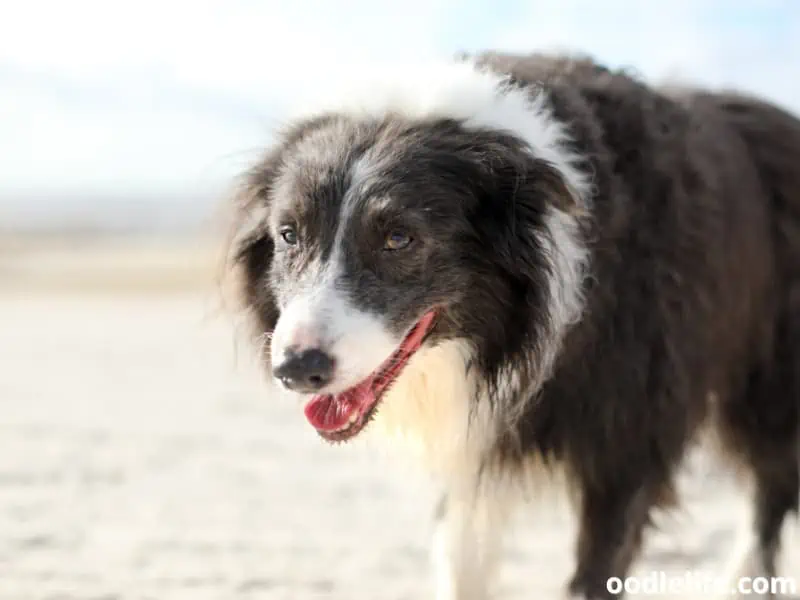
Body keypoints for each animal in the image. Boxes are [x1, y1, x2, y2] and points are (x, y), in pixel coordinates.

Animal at [227, 54, 800, 596]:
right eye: (289, 234)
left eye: (399, 238)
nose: (297, 369)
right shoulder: (472, 435)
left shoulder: (632, 432)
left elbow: (600, 563)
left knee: (769, 491)